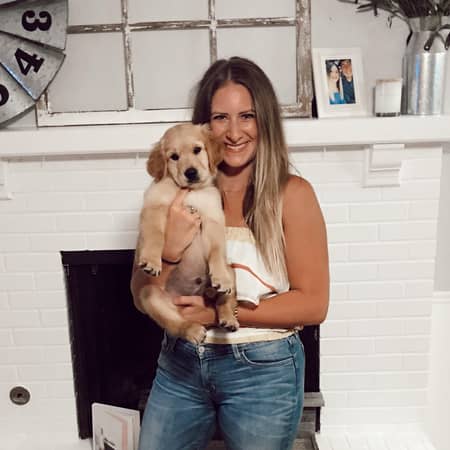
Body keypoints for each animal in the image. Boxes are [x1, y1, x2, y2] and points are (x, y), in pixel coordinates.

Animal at [135, 123, 239, 344]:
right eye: (174, 156)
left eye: (197, 150)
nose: (191, 172)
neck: (190, 192)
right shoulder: (154, 207)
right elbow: (155, 236)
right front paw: (151, 261)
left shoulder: (213, 219)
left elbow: (216, 251)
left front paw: (220, 278)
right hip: (150, 294)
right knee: (175, 323)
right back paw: (192, 330)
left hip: (232, 270)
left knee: (224, 300)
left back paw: (228, 318)